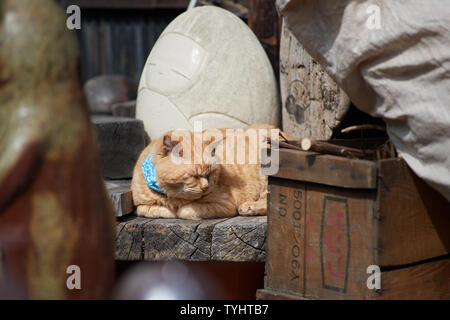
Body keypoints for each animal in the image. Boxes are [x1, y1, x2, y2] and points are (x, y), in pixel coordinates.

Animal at [131, 125, 278, 220]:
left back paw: (250, 207)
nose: (206, 187)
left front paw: (179, 210)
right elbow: (146, 209)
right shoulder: (140, 206)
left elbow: (186, 211)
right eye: (194, 176)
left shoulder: (225, 204)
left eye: (210, 174)